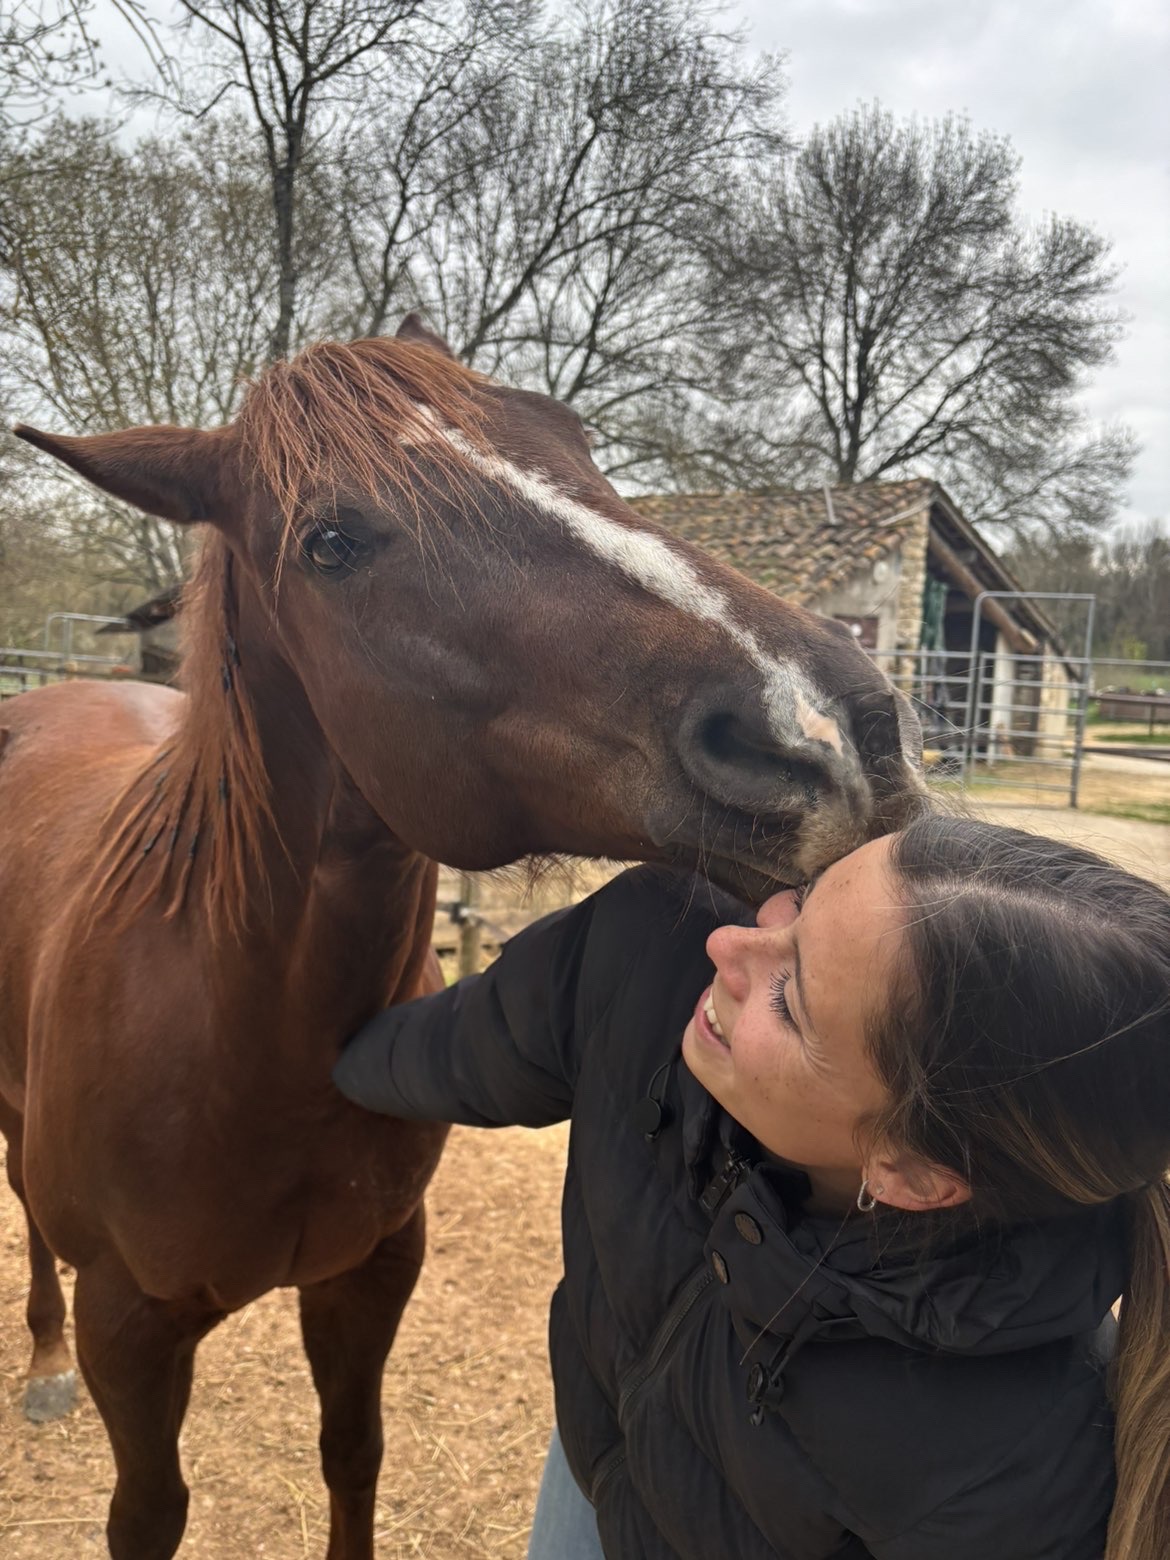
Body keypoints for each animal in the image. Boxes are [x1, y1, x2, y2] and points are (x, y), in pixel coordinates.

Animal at [0, 314, 923, 1559]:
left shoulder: (372, 1276)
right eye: (331, 542)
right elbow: (147, 1514)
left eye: (570, 435)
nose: (834, 730)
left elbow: (353, 1456)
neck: (237, 1030)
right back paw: (42, 1362)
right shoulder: (132, 1333)